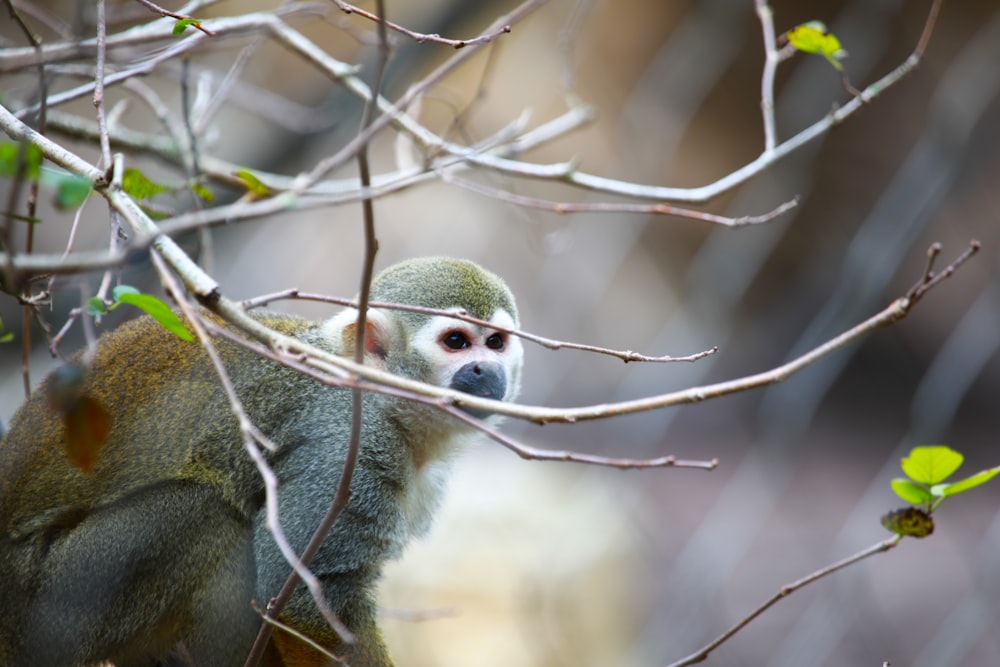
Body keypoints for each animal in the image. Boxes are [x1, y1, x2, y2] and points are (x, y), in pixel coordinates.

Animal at [0, 258, 528, 667]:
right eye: (456, 342)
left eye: (496, 343)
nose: (485, 369)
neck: (388, 407)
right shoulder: (341, 449)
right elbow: (305, 602)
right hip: (50, 607)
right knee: (206, 516)